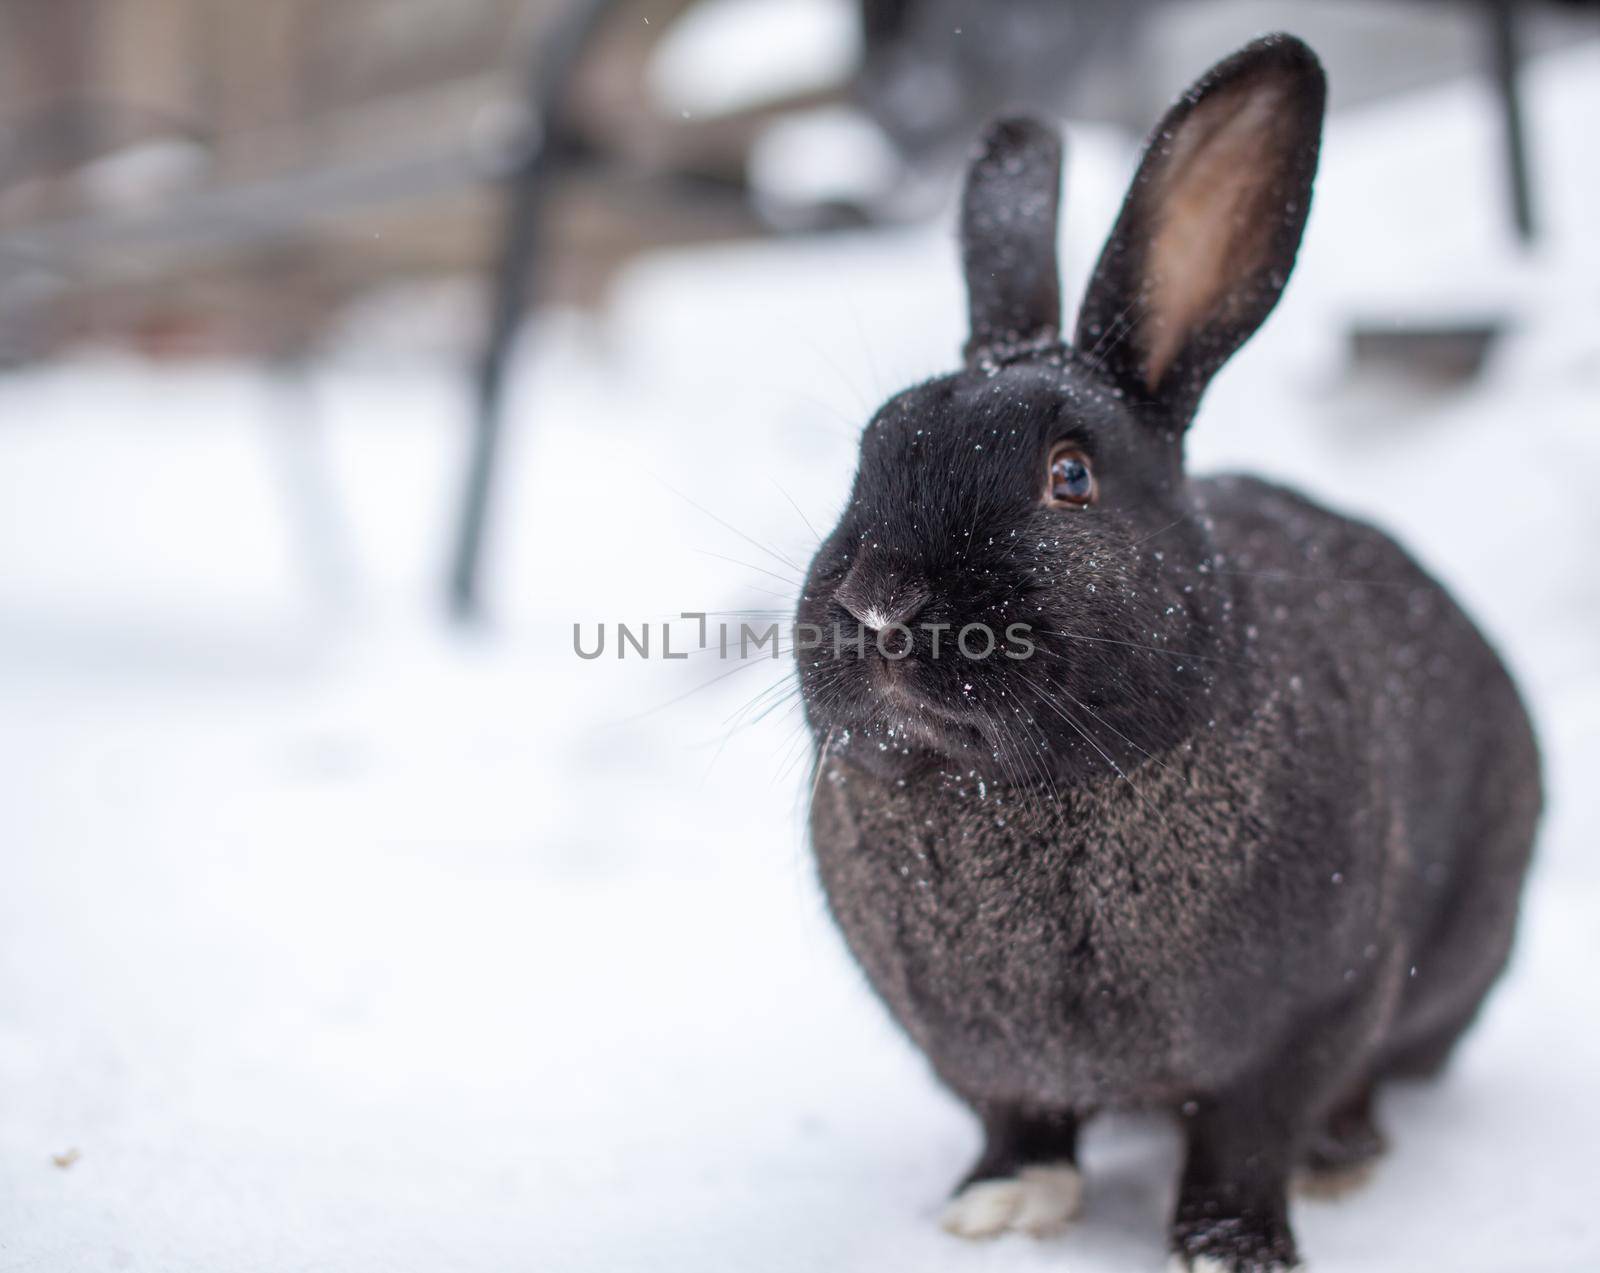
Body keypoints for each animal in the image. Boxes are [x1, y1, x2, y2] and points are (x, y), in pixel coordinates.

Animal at [793, 32, 1542, 1273]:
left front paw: (1231, 1245)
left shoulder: (1312, 1013)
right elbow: (1017, 1120)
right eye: (869, 452)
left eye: (1070, 476)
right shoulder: (977, 1057)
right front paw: (998, 1206)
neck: (1020, 792)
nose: (880, 602)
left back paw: (1341, 1156)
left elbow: (1249, 1131)